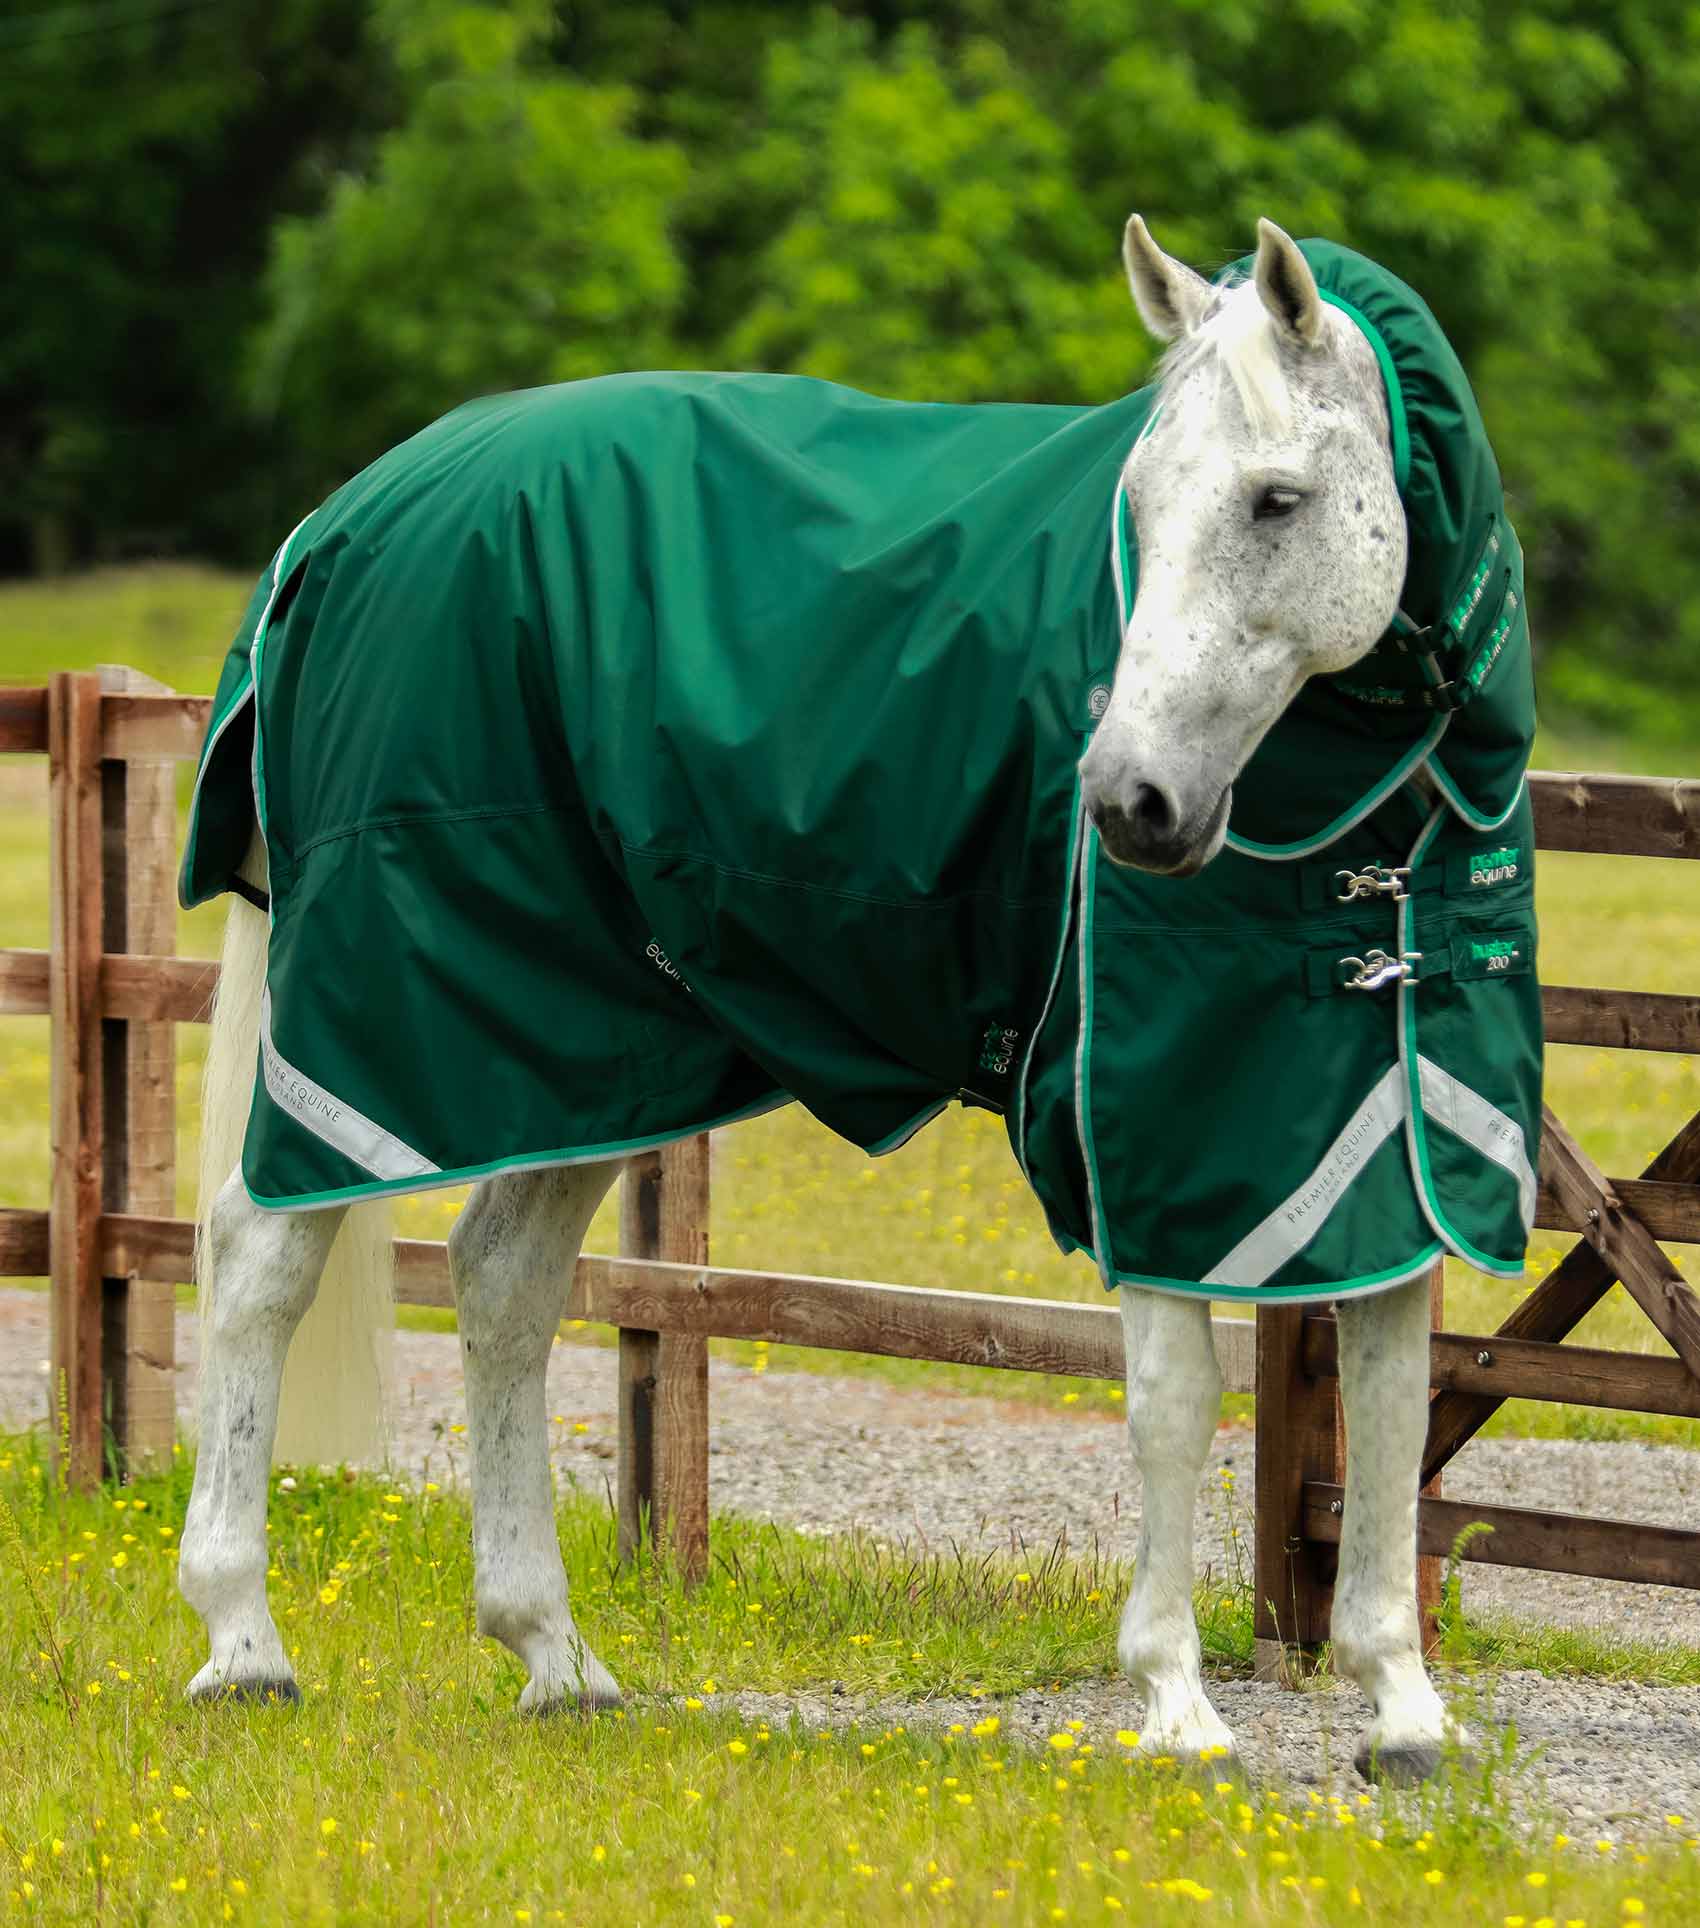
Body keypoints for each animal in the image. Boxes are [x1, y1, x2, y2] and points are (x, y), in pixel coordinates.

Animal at [178, 217, 1523, 1784]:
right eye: (1133, 501)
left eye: (1276, 499)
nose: (1126, 802)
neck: (1365, 810)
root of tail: (341, 521)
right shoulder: (1143, 1128)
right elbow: (1178, 1401)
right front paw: (1178, 1707)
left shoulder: (1377, 1126)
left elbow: (1389, 1388)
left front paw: (1403, 1705)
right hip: (387, 1012)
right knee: (261, 1257)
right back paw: (243, 1644)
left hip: (581, 1048)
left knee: (500, 1282)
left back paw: (555, 1657)